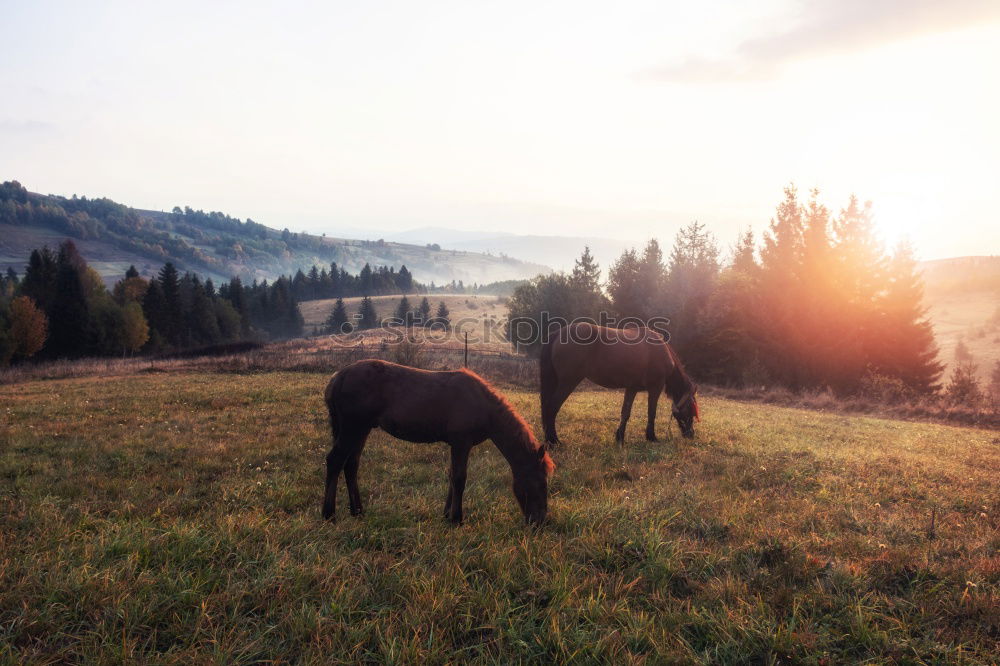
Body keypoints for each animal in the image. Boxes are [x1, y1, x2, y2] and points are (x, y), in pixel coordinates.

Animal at [320, 358, 556, 524]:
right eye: (540, 483)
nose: (539, 522)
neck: (481, 404)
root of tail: (339, 376)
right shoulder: (461, 443)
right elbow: (459, 478)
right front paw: (457, 518)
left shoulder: (458, 445)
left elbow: (452, 476)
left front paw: (446, 514)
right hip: (352, 429)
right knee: (335, 461)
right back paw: (329, 514)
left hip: (362, 430)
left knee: (351, 465)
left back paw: (357, 511)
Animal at [544, 320, 700, 444]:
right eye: (691, 410)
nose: (690, 434)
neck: (659, 350)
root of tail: (560, 332)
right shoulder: (655, 388)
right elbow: (651, 412)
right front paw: (651, 437)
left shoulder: (632, 388)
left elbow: (625, 412)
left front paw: (620, 437)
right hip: (568, 382)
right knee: (551, 407)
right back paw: (554, 441)